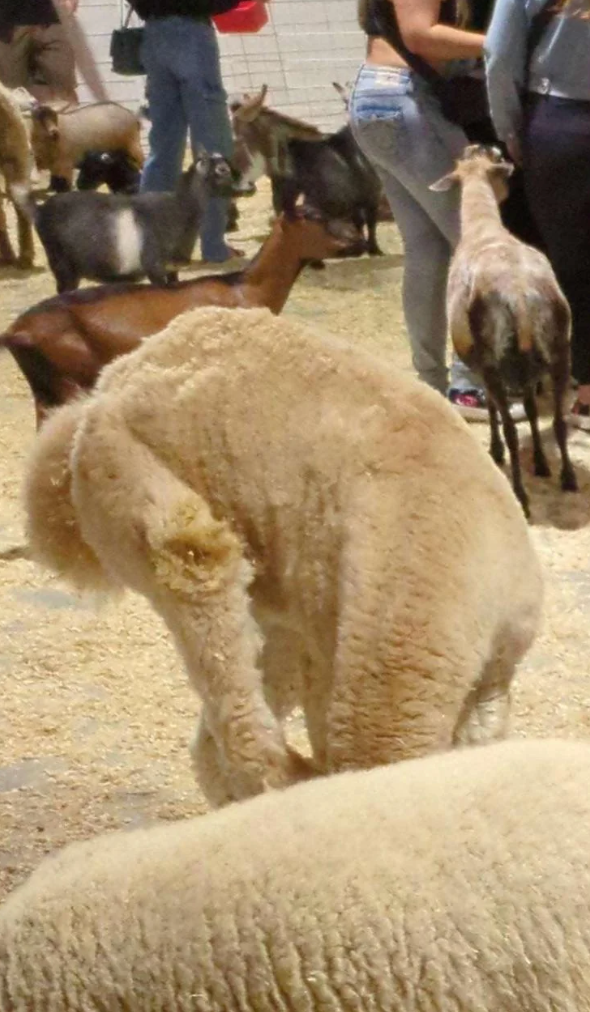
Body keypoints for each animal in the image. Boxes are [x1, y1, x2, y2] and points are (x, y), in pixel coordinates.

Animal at [1, 209, 358, 426]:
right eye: (313, 215)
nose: (355, 239)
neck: (243, 289)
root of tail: (15, 331)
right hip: (67, 382)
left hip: (45, 390)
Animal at [13, 151, 235, 293]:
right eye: (222, 170)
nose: (243, 186)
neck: (179, 208)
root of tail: (40, 210)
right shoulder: (154, 268)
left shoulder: (172, 270)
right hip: (62, 267)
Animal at [24, 305, 543, 807]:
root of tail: (112, 380)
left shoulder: (491, 679)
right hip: (154, 509)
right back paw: (281, 775)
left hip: (276, 606)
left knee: (217, 737)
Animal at [430, 144, 577, 518]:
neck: (484, 227)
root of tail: (520, 296)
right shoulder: (526, 370)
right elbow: (530, 408)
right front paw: (540, 461)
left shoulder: (479, 362)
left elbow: (497, 412)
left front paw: (497, 452)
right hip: (559, 350)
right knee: (556, 419)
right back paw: (568, 478)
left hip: (493, 358)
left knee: (511, 428)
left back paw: (520, 496)